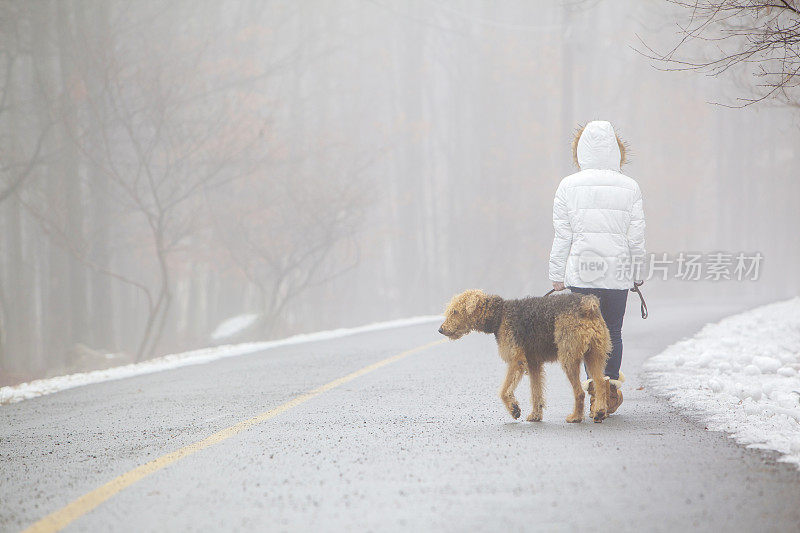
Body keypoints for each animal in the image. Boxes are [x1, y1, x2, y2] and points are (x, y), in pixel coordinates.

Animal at [438, 288, 612, 422]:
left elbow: (503, 391)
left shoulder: (516, 360)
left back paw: (576, 417)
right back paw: (600, 412)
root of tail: (587, 305)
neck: (499, 315)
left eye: (455, 311)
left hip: (569, 358)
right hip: (595, 355)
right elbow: (536, 391)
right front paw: (535, 415)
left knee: (580, 392)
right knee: (601, 383)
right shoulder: (533, 363)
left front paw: (514, 409)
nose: (440, 329)